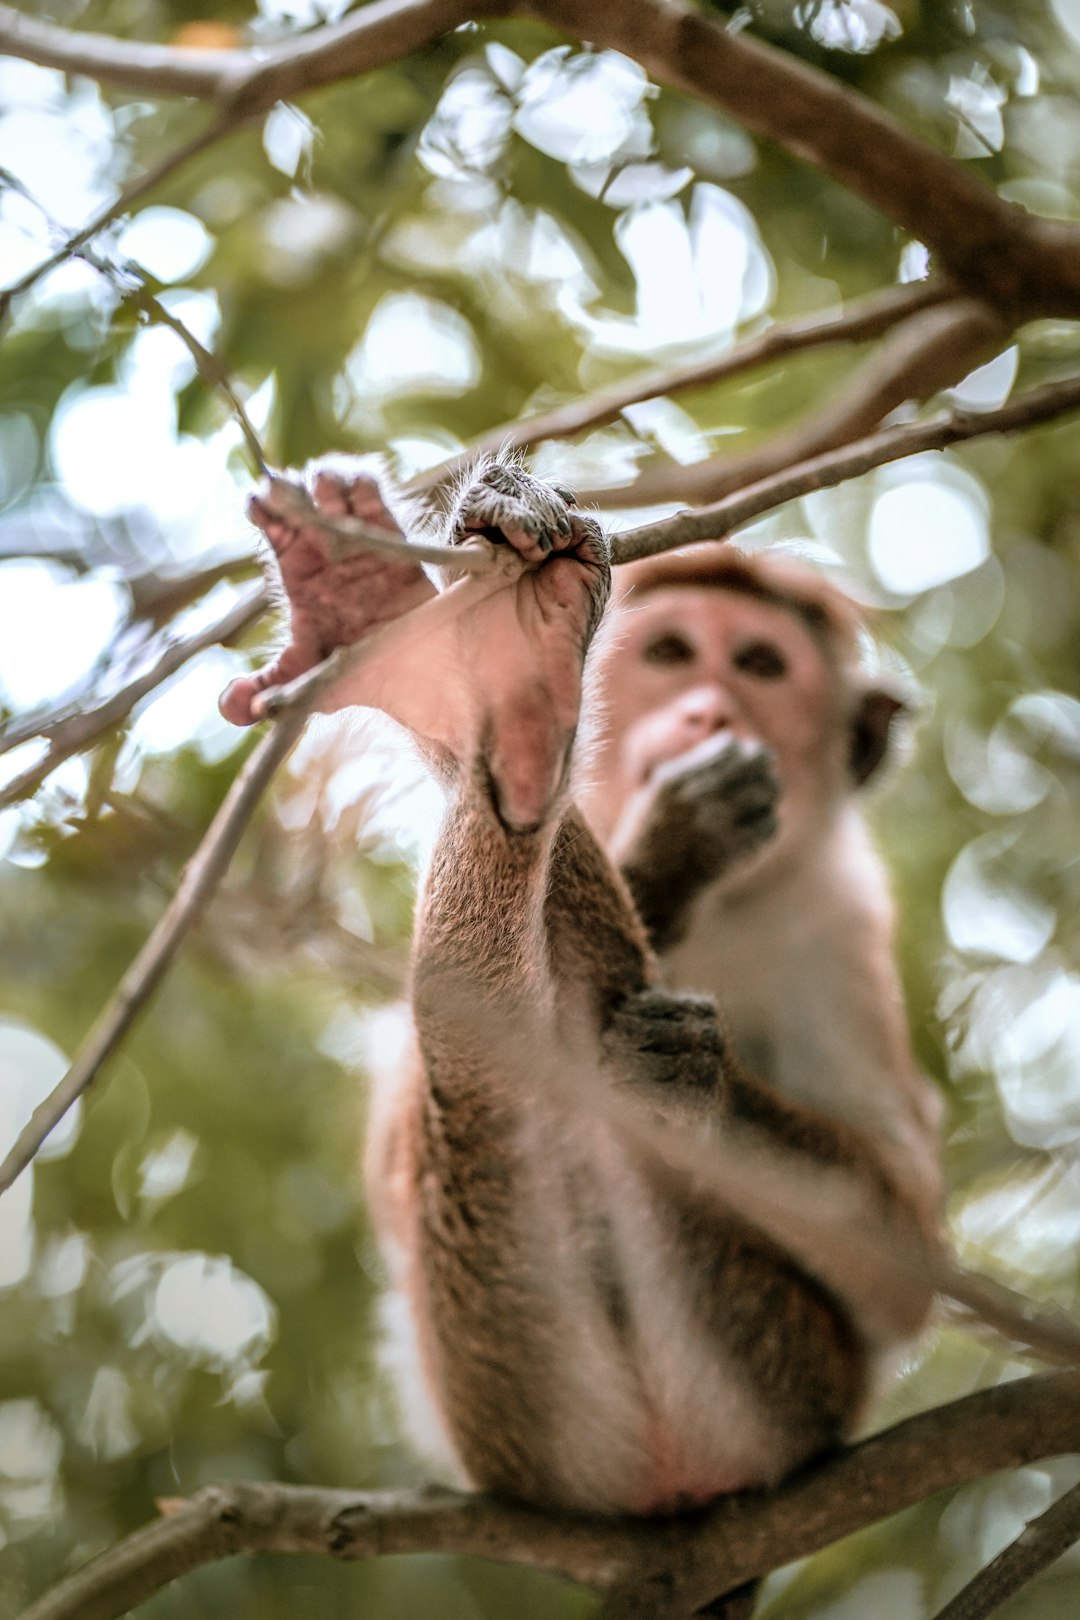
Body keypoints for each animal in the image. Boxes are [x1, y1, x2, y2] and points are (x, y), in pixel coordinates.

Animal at [216, 456, 939, 1516]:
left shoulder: (843, 924)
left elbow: (905, 1254)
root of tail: (661, 1486)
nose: (708, 712)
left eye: (760, 667)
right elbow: (392, 1159)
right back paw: (475, 688)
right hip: (503, 1389)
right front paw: (681, 842)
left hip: (755, 1373)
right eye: (674, 653)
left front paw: (696, 1071)